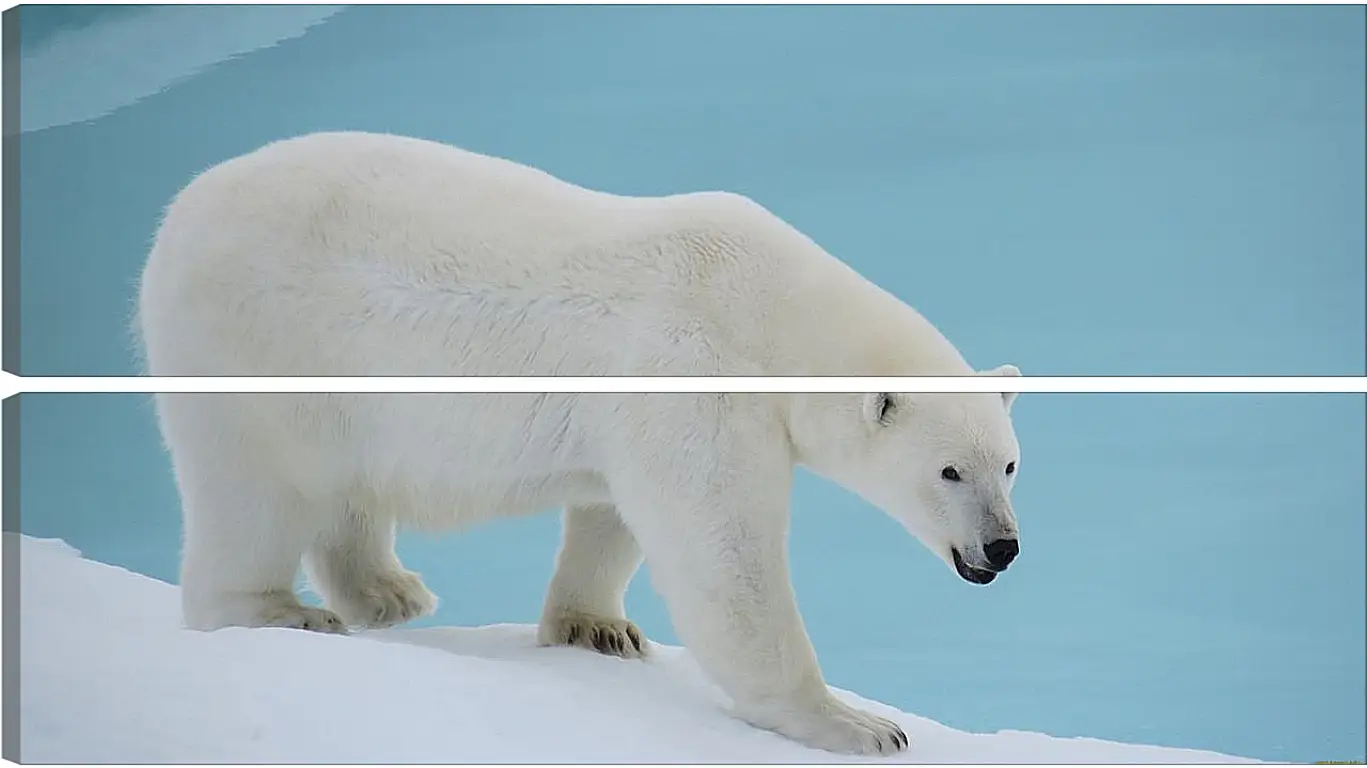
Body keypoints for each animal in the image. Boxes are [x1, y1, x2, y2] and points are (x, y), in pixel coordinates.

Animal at [136, 129, 1027, 754]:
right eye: (949, 471)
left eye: (1011, 464)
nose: (1002, 546)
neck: (767, 307)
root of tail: (181, 211)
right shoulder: (694, 372)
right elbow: (722, 553)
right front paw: (855, 722)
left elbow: (612, 512)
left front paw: (597, 627)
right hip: (257, 343)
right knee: (255, 488)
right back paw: (279, 610)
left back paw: (388, 590)